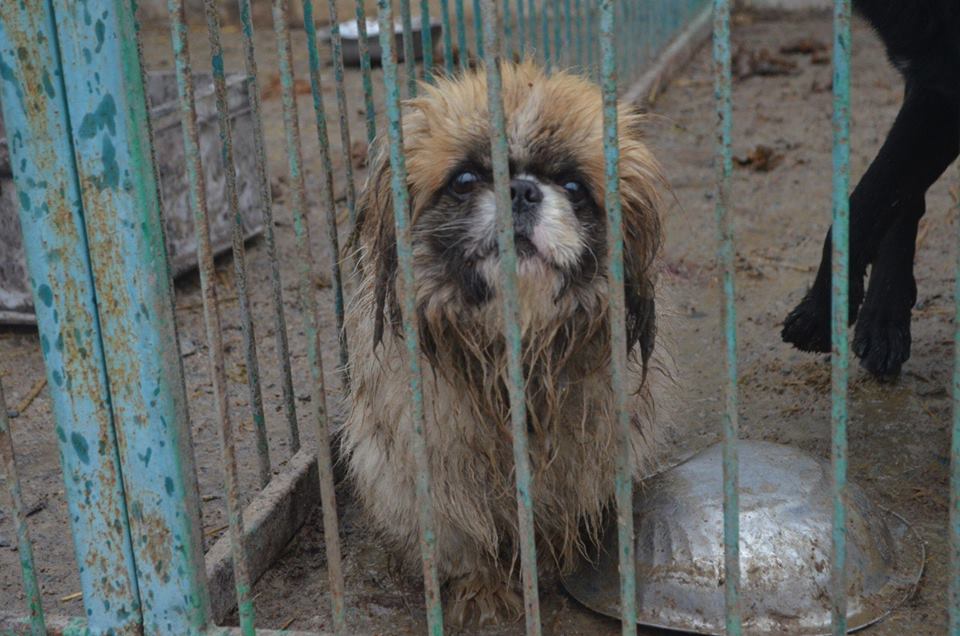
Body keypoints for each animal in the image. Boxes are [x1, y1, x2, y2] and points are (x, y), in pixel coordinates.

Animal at [342, 62, 672, 624]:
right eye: (465, 180)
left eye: (573, 186)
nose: (520, 190)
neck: (512, 349)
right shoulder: (436, 471)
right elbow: (464, 538)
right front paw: (482, 592)